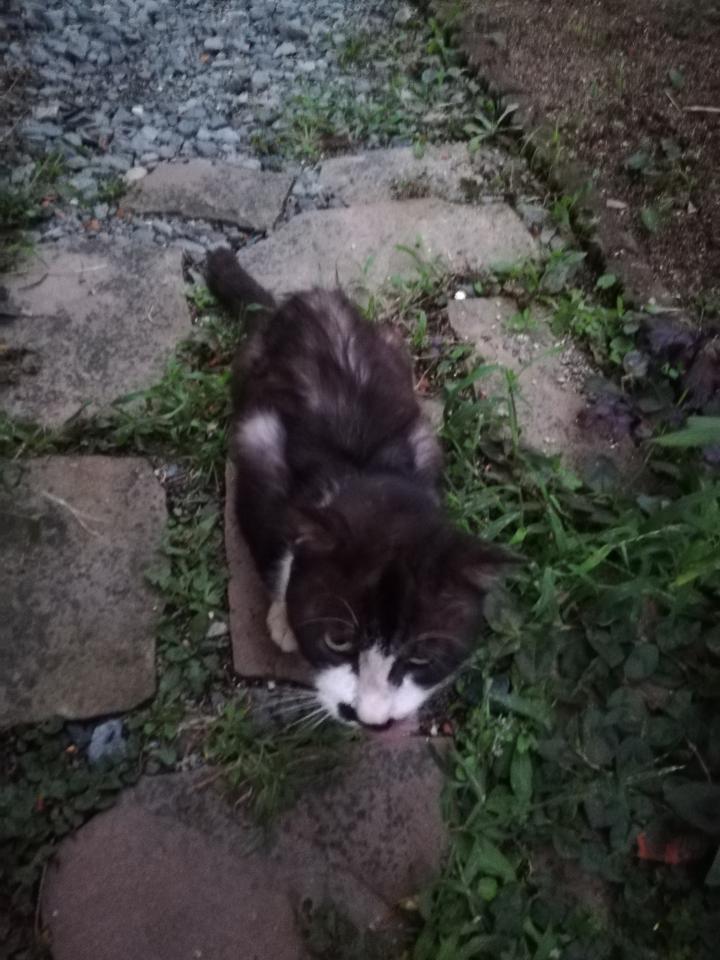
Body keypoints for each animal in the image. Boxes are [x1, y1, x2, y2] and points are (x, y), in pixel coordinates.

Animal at [206, 248, 514, 730]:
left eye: (422, 657)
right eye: (337, 640)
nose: (370, 718)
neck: (362, 474)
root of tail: (298, 302)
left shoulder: (423, 444)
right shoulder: (259, 446)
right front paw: (283, 616)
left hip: (392, 344)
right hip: (251, 366)